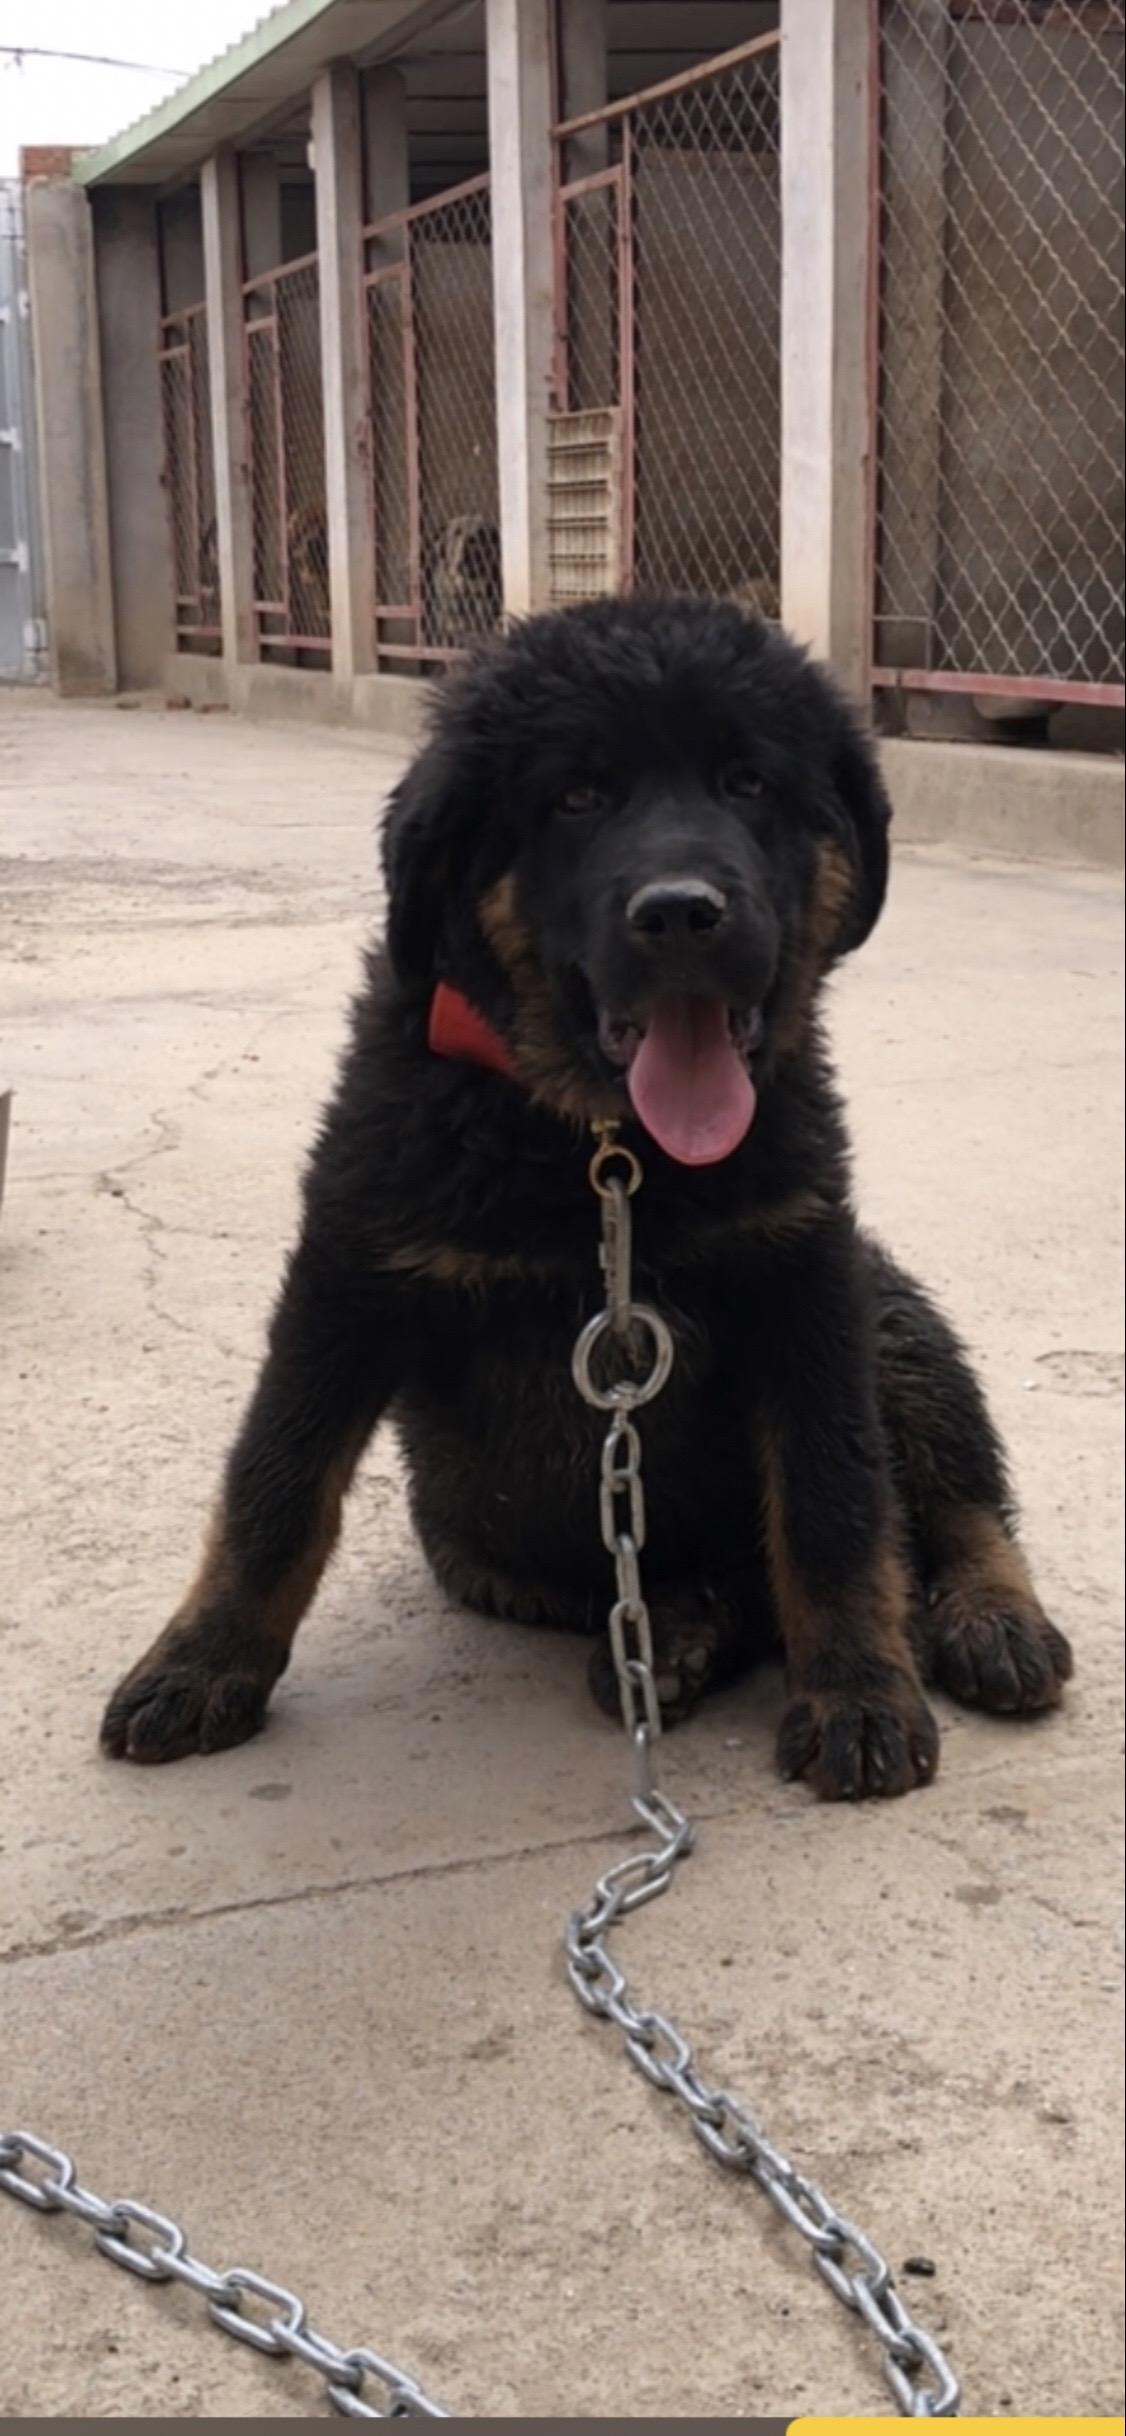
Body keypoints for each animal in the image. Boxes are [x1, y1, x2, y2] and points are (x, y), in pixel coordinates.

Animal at [102, 595, 1071, 1794]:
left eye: (749, 783)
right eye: (575, 797)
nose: (682, 913)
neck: (607, 1151)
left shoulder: (806, 1273)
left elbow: (837, 1500)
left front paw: (859, 1691)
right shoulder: (350, 1268)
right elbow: (275, 1476)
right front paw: (201, 1660)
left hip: (891, 1311)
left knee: (953, 1496)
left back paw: (988, 1618)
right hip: (496, 1554)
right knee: (716, 1579)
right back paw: (678, 1633)